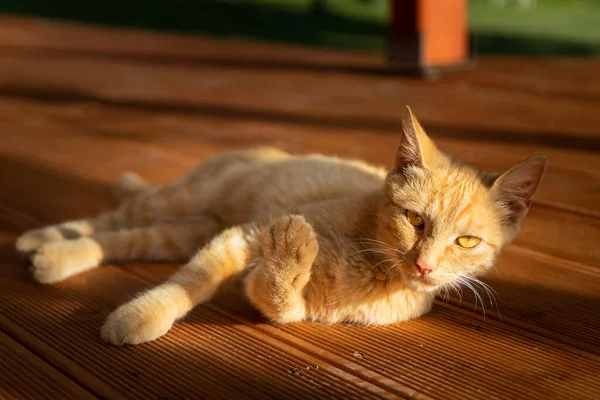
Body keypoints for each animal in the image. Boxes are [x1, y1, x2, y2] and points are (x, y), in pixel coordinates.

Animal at [16, 108, 548, 346]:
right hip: (187, 200)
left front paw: (290, 258)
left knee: (119, 240)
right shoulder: (243, 236)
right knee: (112, 217)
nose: (424, 265)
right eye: (414, 219)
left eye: (466, 241)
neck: (373, 268)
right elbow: (186, 285)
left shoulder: (293, 299)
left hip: (184, 230)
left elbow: (280, 303)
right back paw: (41, 241)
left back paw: (51, 256)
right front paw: (138, 316)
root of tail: (261, 150)